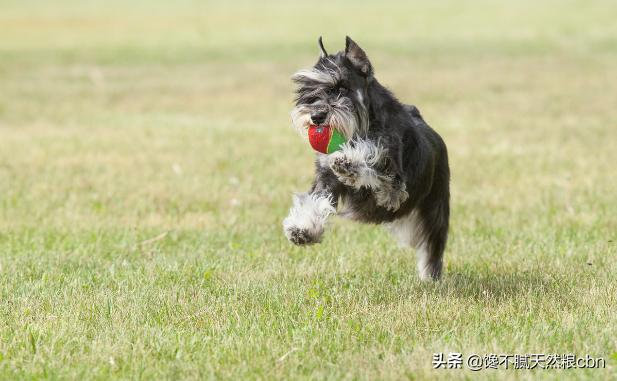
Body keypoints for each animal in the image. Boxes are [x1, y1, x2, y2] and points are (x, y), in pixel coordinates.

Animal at [282, 36, 448, 280]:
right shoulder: (326, 179)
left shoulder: (394, 187)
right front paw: (302, 229)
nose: (316, 116)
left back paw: (430, 277)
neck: (362, 127)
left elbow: (372, 159)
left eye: (342, 87)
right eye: (308, 89)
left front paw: (349, 161)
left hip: (436, 209)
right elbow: (316, 201)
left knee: (432, 247)